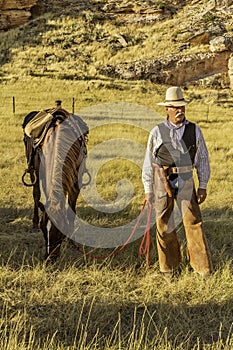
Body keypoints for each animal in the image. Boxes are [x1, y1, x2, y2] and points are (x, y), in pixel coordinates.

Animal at [22, 108, 89, 258]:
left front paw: (71, 241)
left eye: (60, 230)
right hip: (33, 171)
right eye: (43, 228)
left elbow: (71, 210)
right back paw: (33, 223)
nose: (50, 258)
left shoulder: (76, 182)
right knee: (36, 194)